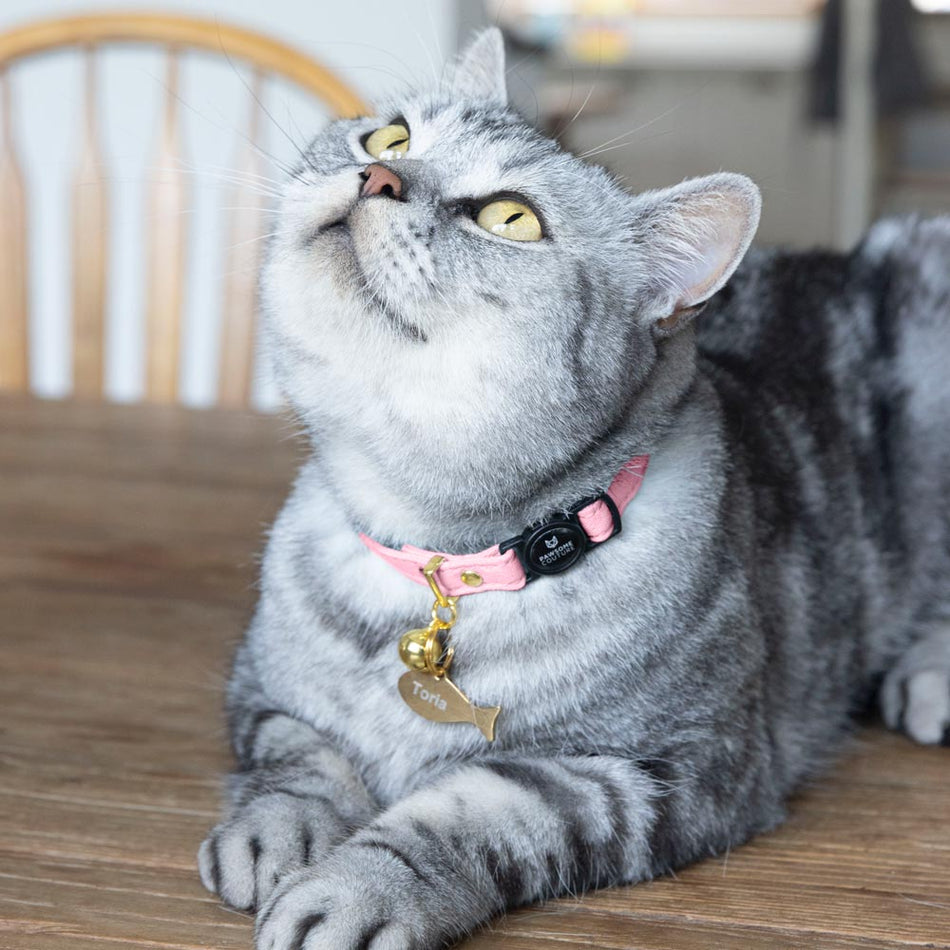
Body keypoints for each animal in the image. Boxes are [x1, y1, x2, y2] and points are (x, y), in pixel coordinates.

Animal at [199, 26, 950, 948]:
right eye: (391, 138)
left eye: (510, 218)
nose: (379, 177)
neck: (432, 559)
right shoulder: (259, 687)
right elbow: (296, 756)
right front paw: (279, 830)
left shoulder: (659, 772)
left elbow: (469, 813)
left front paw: (357, 887)